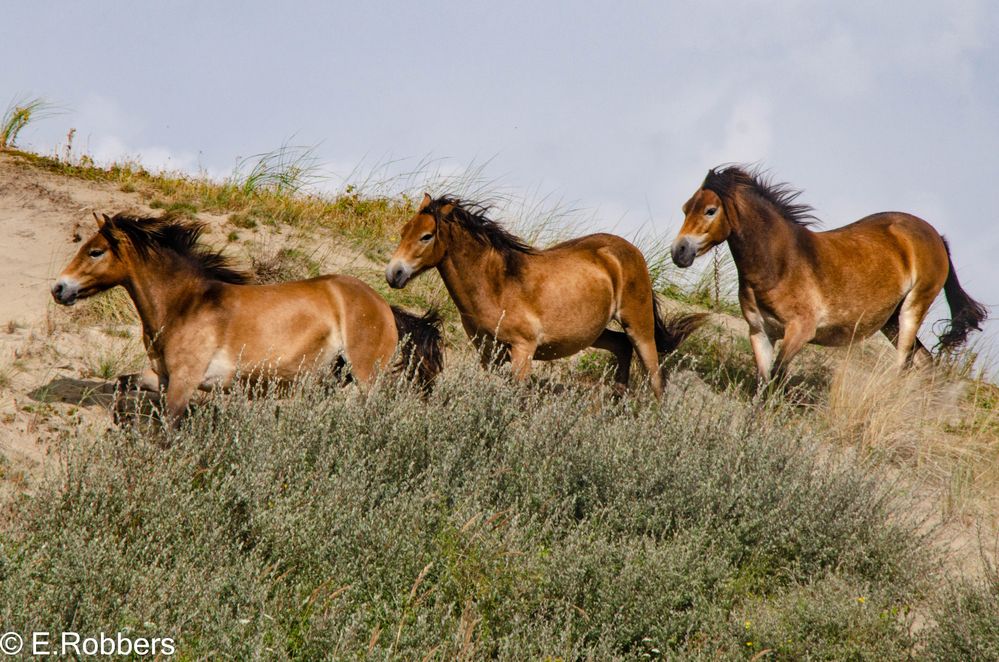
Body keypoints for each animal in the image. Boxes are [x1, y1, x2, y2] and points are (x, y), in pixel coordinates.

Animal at [52, 214, 444, 426]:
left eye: (95, 251)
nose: (59, 288)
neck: (186, 304)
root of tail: (384, 306)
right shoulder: (162, 377)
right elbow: (122, 384)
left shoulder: (184, 383)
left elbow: (169, 426)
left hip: (366, 378)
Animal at [386, 195, 708, 396]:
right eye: (403, 231)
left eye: (426, 236)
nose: (394, 274)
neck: (498, 284)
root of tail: (630, 252)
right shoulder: (488, 354)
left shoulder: (522, 351)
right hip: (594, 332)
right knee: (621, 348)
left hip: (639, 327)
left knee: (655, 379)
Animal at [668, 167, 988, 384]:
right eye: (685, 209)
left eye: (710, 210)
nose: (679, 251)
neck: (780, 265)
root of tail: (935, 236)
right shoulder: (760, 333)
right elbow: (763, 381)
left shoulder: (799, 332)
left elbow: (777, 378)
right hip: (890, 321)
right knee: (924, 362)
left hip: (913, 309)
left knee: (903, 364)